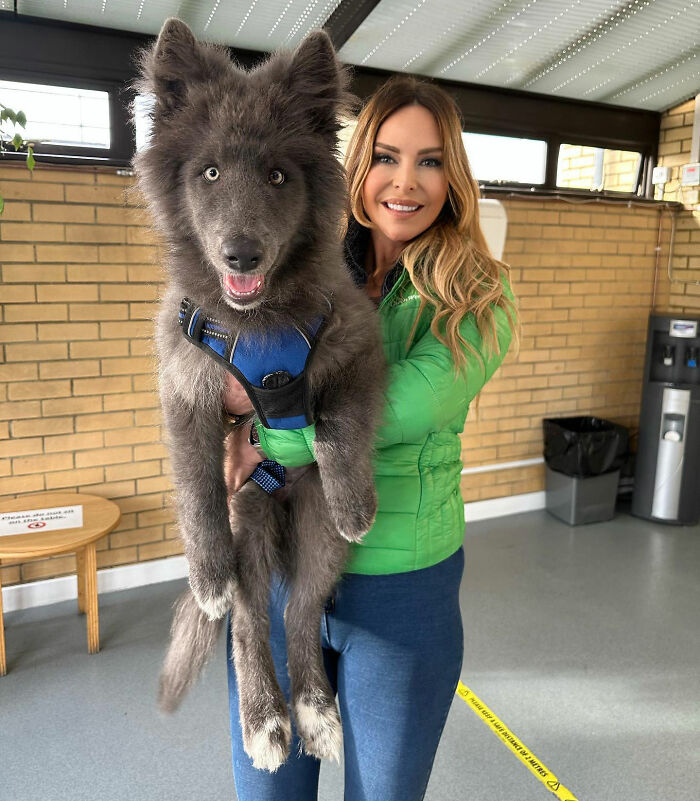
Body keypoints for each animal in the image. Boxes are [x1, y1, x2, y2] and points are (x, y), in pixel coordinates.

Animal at [133, 19, 385, 772]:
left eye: (278, 175)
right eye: (210, 172)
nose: (241, 253)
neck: (257, 319)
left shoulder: (359, 347)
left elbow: (337, 425)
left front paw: (356, 499)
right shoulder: (185, 391)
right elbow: (195, 491)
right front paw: (205, 576)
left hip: (316, 530)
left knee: (300, 611)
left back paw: (315, 712)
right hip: (247, 513)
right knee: (248, 622)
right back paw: (265, 719)